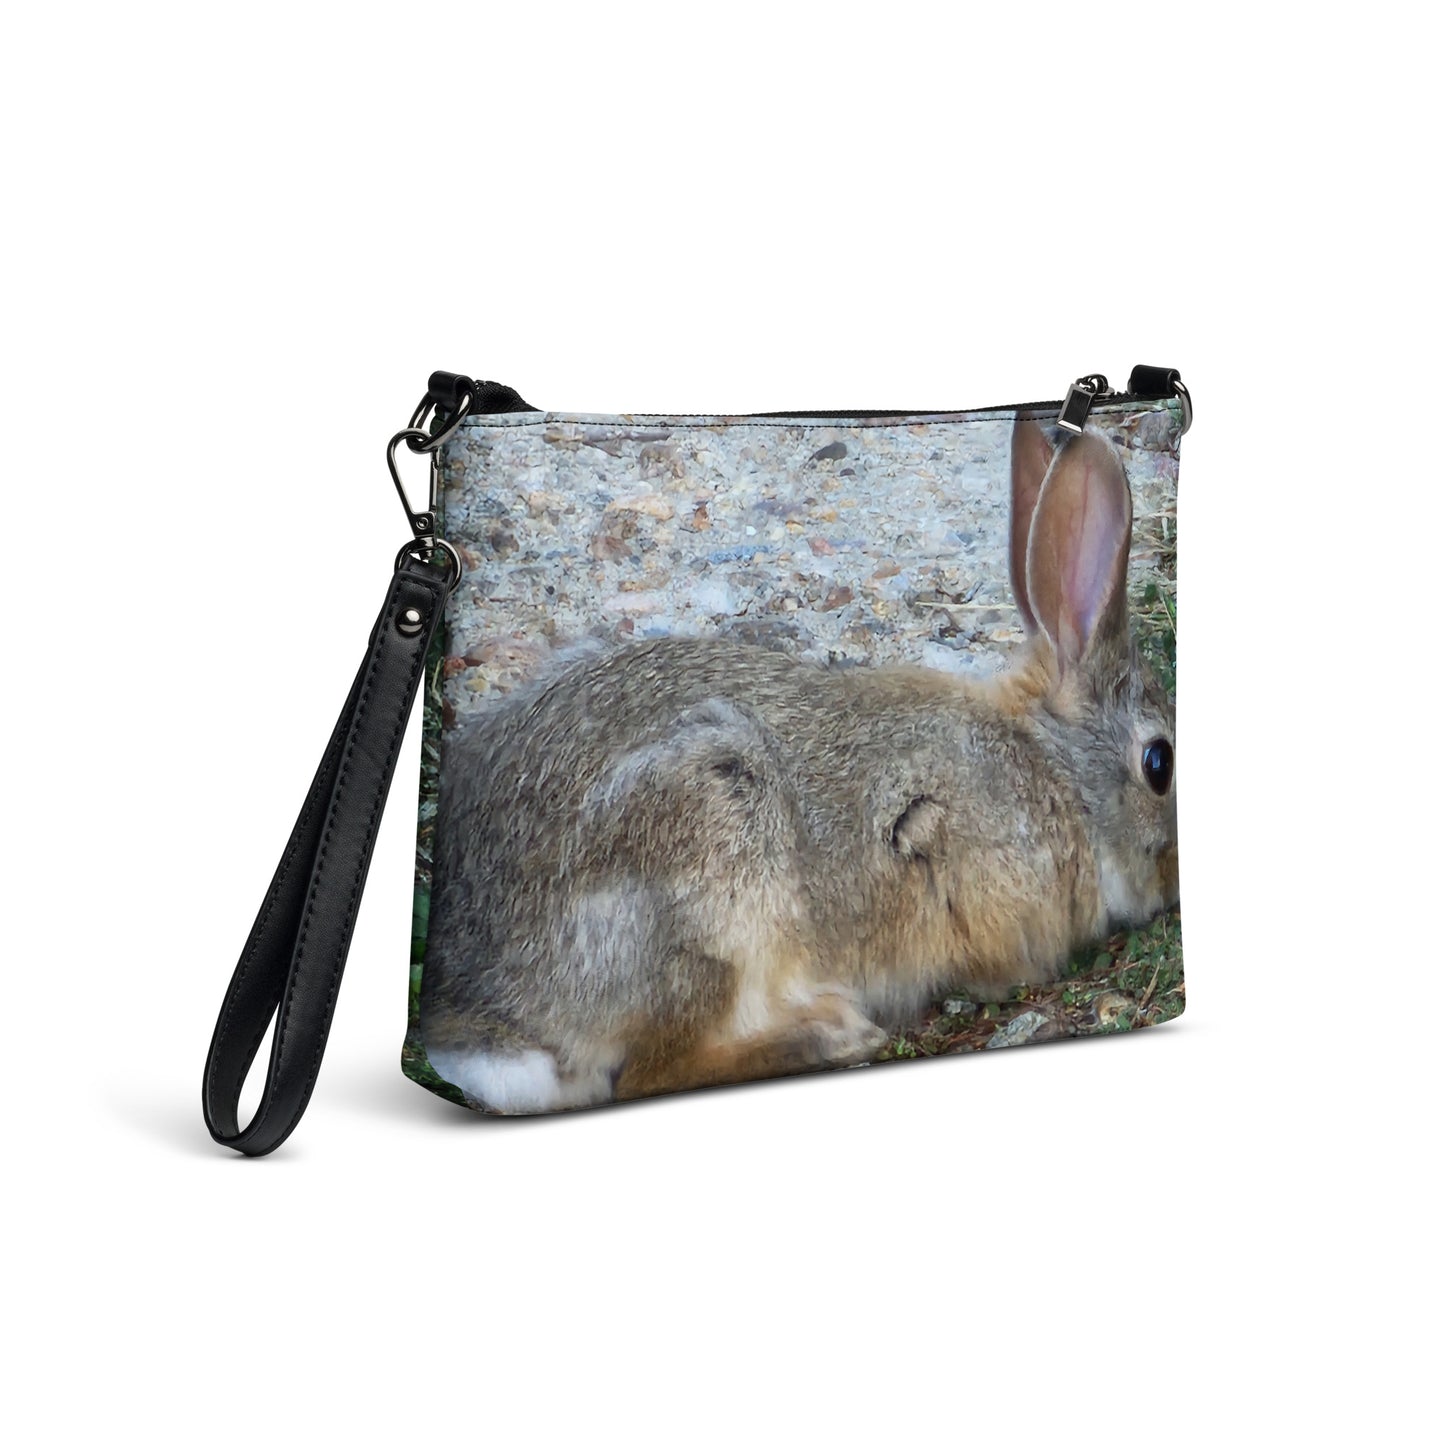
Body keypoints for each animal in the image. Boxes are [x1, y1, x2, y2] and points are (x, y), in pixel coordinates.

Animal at [419, 418, 1179, 1113]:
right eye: (1159, 763)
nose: (1175, 879)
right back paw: (830, 1034)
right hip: (712, 853)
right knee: (648, 1070)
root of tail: (484, 1022)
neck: (1052, 766)